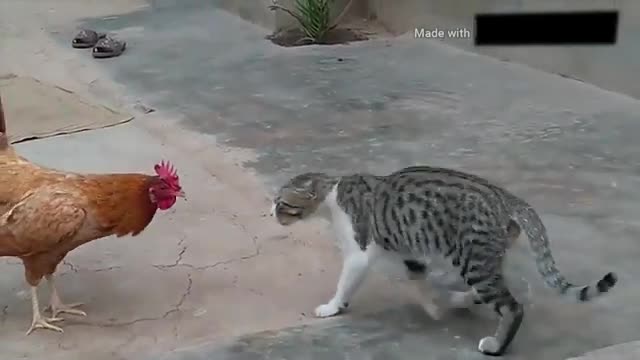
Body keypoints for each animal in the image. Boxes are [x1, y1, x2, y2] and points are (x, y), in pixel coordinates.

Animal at [270, 167, 616, 358]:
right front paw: (436, 304)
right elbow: (420, 282)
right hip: (478, 255)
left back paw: (496, 345)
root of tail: (502, 196)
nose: (270, 212)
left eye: (282, 203)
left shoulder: (359, 253)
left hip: (473, 258)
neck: (332, 195)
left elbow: (346, 283)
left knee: (512, 306)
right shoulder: (411, 253)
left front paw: (332, 306)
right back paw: (462, 298)